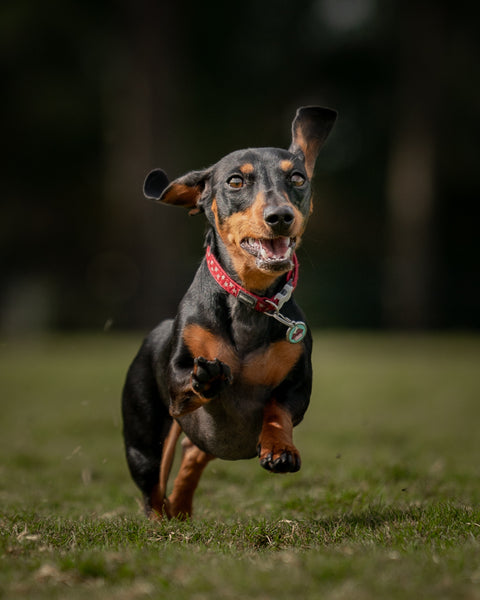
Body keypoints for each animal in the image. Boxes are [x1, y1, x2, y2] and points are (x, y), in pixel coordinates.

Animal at [122, 105, 336, 516]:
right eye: (236, 181)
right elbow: (188, 381)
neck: (250, 301)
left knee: (192, 455)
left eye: (297, 177)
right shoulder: (178, 382)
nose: (280, 216)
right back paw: (162, 517)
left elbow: (278, 410)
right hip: (144, 441)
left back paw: (181, 508)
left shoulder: (297, 386)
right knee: (152, 492)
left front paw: (279, 448)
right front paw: (207, 378)